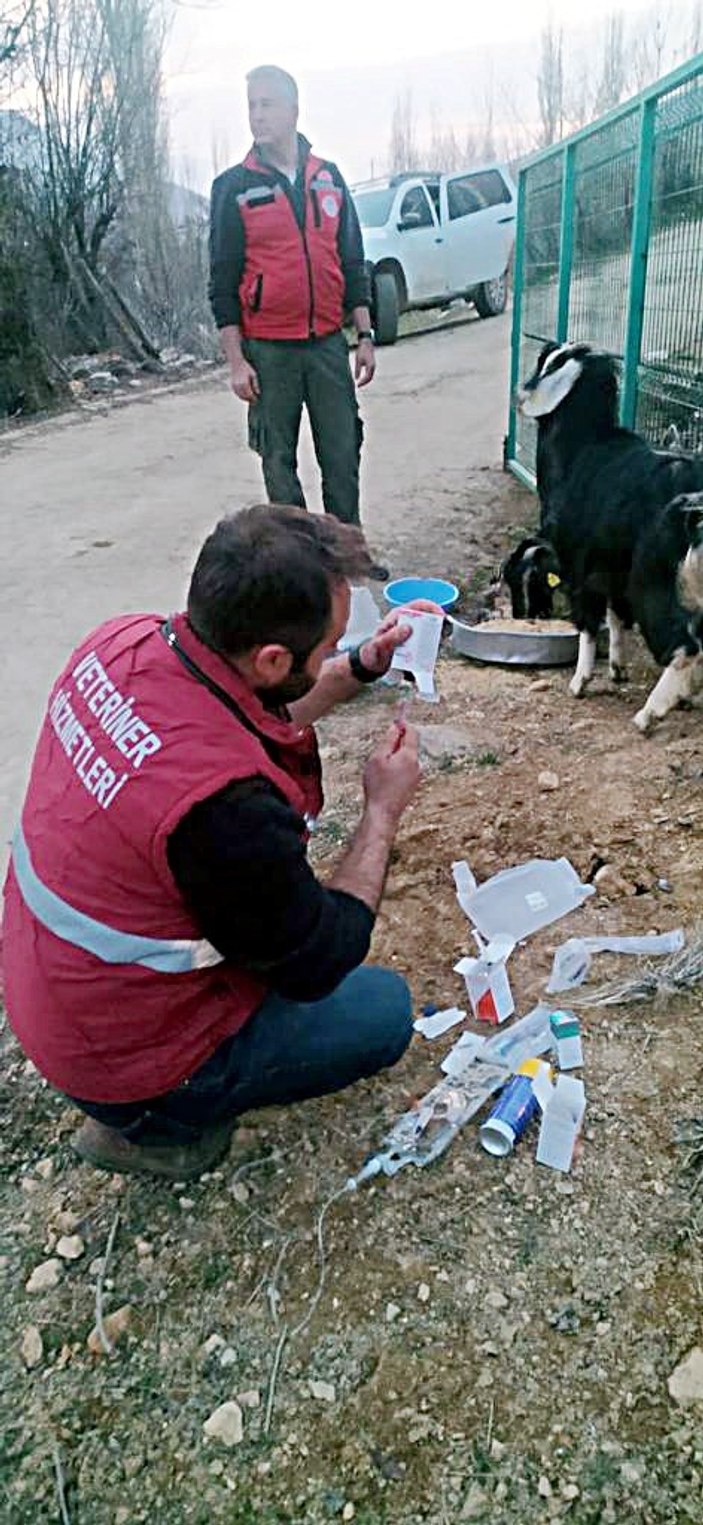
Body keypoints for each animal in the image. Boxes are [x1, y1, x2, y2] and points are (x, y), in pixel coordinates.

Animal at [503, 341, 703, 732]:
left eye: (553, 364)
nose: (521, 395)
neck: (582, 452)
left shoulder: (581, 566)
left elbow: (588, 621)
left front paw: (579, 682)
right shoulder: (612, 569)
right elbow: (616, 616)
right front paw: (617, 669)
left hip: (655, 577)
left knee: (684, 644)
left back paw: (649, 714)